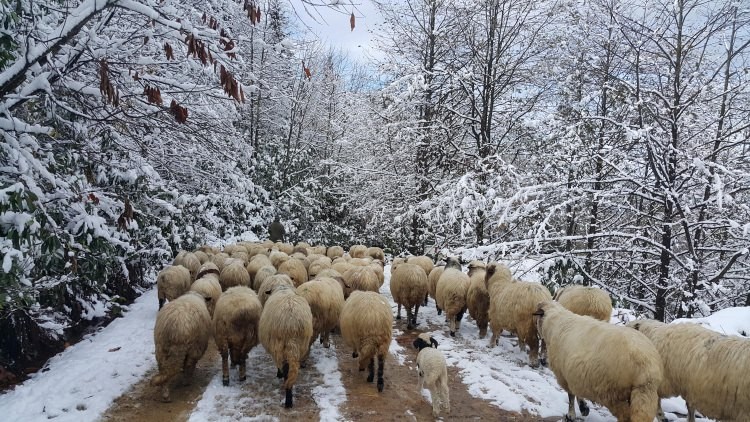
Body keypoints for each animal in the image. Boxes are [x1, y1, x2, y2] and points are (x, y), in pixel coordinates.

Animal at [536, 300, 664, 422]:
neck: (554, 323)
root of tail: (646, 368)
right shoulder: (575, 374)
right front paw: (584, 408)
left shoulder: (564, 375)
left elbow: (571, 396)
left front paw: (572, 414)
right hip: (642, 395)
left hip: (613, 394)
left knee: (625, 417)